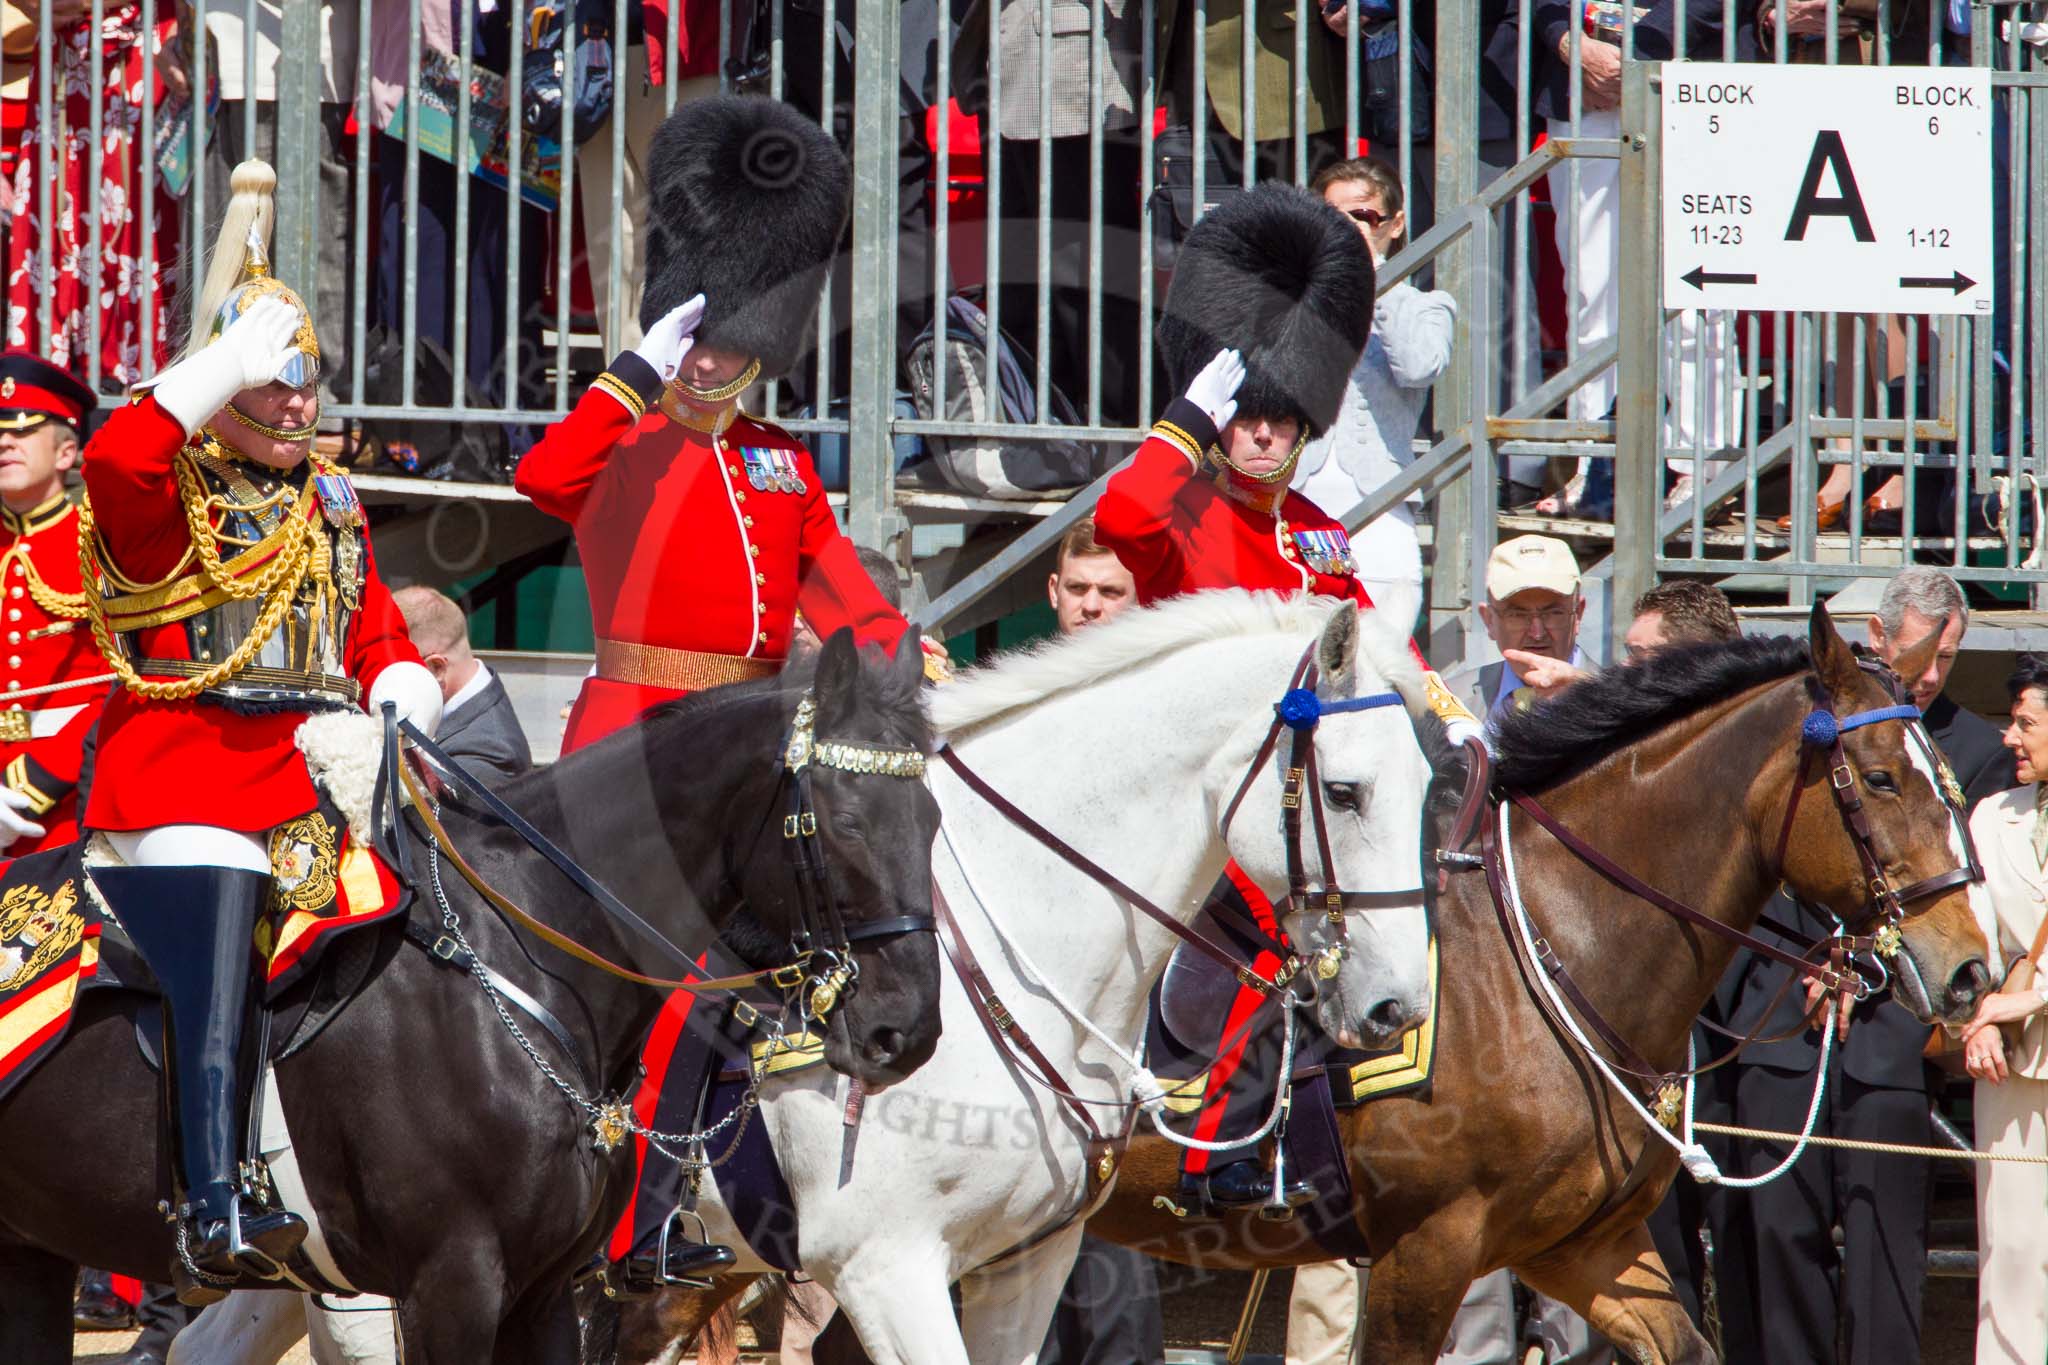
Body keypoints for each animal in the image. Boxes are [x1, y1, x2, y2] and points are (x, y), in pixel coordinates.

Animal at [0, 630, 937, 1365]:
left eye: (929, 819)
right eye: (845, 822)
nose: (908, 1033)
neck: (516, 949)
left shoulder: (543, 1291)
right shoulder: (451, 1283)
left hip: (33, 1245)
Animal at [602, 609, 1982, 1365]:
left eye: (1941, 772)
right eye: (1877, 783)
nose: (1965, 962)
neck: (1552, 957)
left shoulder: (1581, 1244)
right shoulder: (1429, 1247)